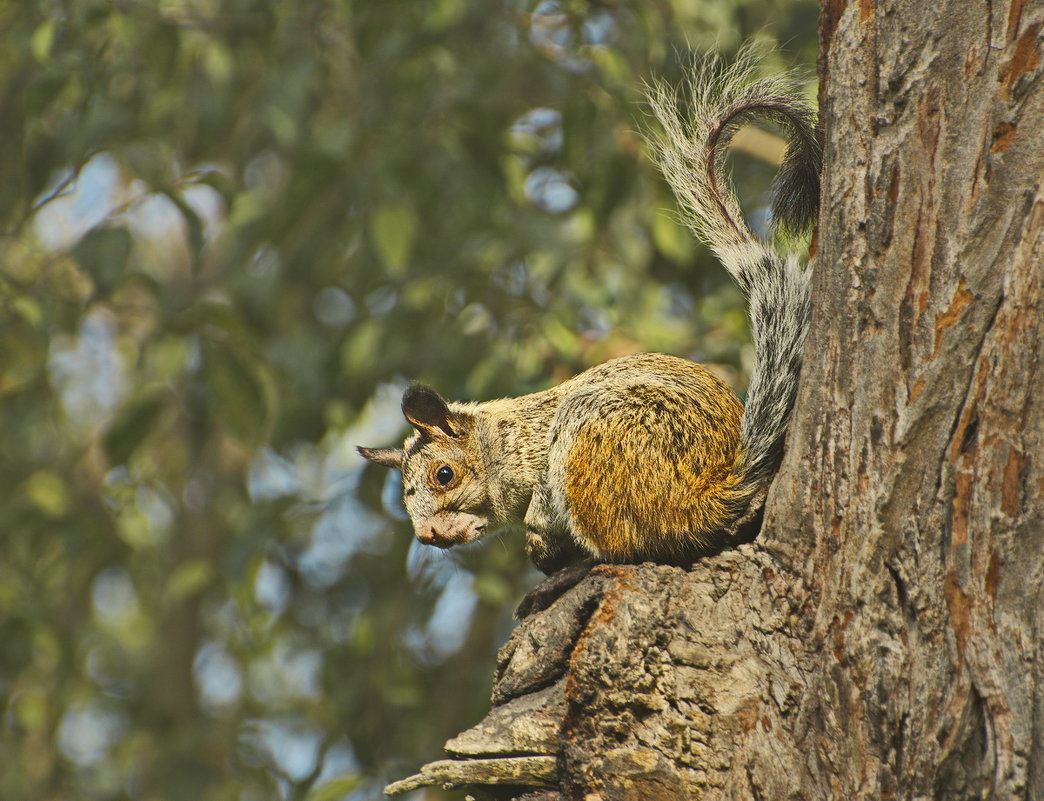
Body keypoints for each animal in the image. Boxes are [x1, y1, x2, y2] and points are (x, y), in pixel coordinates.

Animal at [363, 51, 818, 576]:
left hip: (599, 442)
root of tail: (706, 497)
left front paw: (538, 536)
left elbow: (543, 504)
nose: (428, 536)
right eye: (404, 493)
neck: (510, 438)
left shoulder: (544, 458)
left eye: (444, 474)